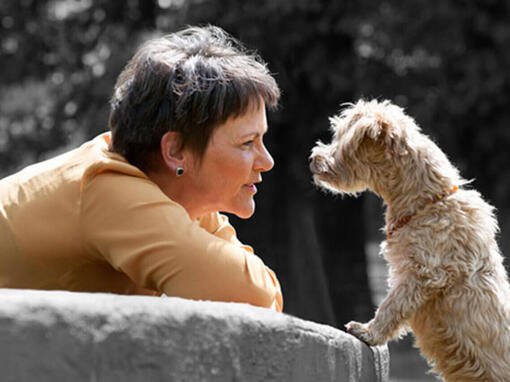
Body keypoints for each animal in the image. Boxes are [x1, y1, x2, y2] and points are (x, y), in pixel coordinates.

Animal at [308, 100, 510, 380]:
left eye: (342, 140)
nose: (313, 158)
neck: (426, 203)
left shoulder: (422, 274)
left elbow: (392, 306)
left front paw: (368, 333)